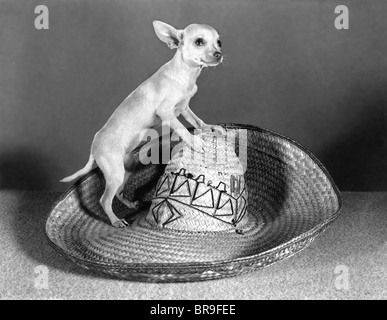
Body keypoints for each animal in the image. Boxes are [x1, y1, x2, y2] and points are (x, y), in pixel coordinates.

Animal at [60, 20, 224, 228]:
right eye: (199, 42)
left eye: (219, 42)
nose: (219, 54)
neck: (186, 75)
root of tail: (94, 145)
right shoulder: (167, 113)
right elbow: (181, 128)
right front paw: (194, 142)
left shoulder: (184, 109)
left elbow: (197, 120)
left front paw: (209, 128)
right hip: (115, 173)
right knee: (104, 200)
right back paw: (115, 220)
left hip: (127, 169)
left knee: (119, 192)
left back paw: (129, 204)